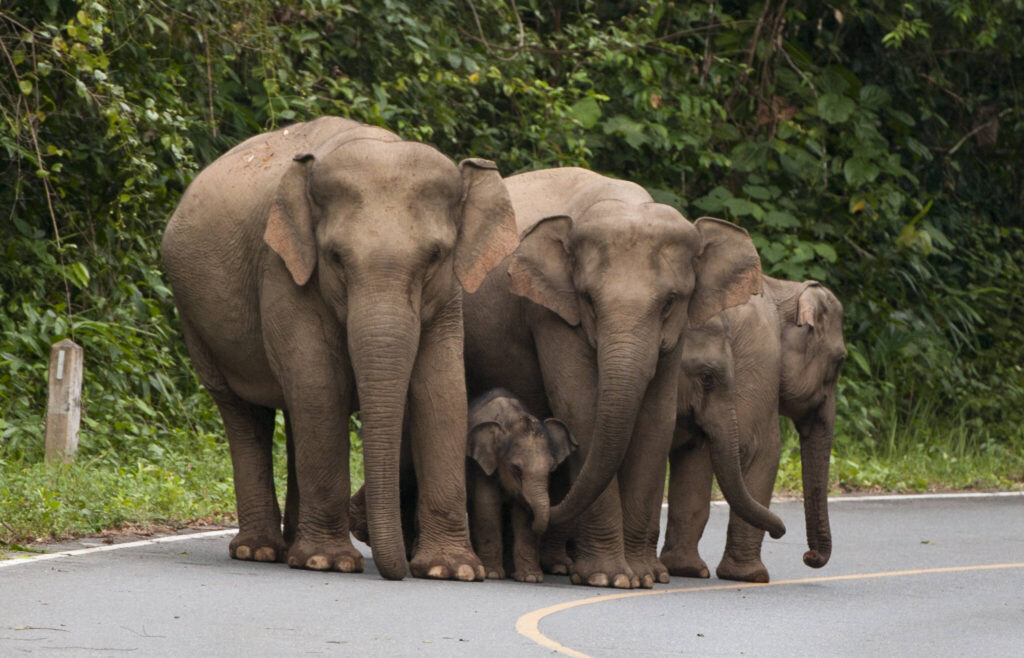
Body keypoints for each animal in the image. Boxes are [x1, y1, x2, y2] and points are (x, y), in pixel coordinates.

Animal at [164, 118, 524, 581]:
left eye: (435, 256)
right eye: (335, 256)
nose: (398, 571)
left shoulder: (449, 295)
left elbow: (441, 391)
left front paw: (452, 570)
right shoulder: (284, 271)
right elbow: (320, 385)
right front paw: (328, 563)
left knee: (294, 413)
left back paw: (291, 545)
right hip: (196, 324)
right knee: (245, 412)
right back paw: (260, 551)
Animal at [466, 388, 577, 585]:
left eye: (552, 468)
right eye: (516, 469)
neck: (509, 418)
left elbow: (521, 515)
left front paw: (530, 578)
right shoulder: (482, 467)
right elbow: (487, 505)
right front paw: (492, 574)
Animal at [659, 276, 843, 585]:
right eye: (840, 360)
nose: (809, 557)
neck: (781, 288)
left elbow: (695, 452)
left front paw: (688, 570)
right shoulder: (759, 357)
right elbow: (760, 449)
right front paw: (752, 576)